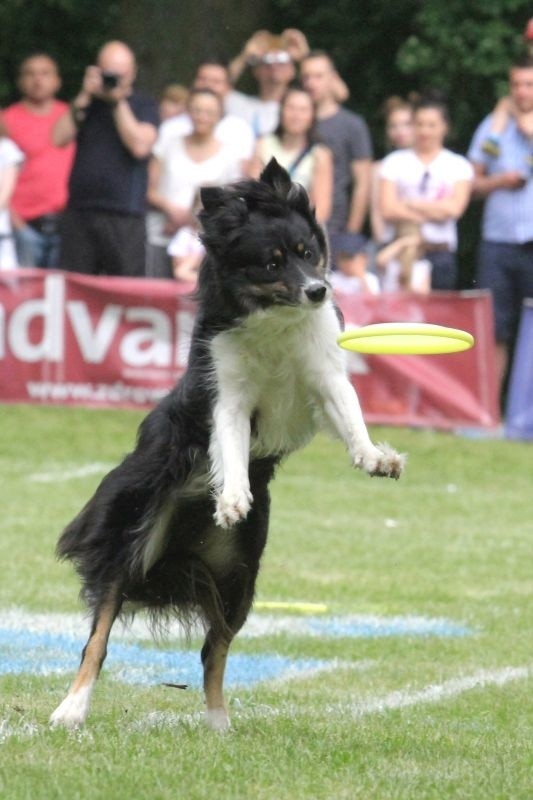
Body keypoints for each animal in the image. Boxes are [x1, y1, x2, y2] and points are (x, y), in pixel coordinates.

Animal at [51, 161, 404, 732]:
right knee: (98, 640)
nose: (319, 291)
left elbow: (351, 414)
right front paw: (233, 496)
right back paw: (71, 709)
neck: (275, 317)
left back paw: (219, 723)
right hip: (128, 541)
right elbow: (232, 446)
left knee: (213, 649)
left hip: (238, 576)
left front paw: (375, 457)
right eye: (272, 262)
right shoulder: (229, 395)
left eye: (308, 251)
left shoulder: (324, 374)